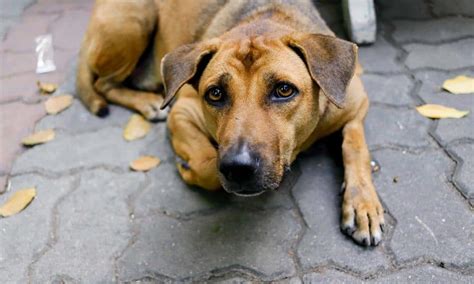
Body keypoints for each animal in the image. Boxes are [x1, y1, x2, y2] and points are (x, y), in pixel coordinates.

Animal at [75, 0, 386, 246]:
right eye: (215, 94)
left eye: (284, 90)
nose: (238, 167)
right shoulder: (182, 111)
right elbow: (208, 168)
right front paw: (188, 168)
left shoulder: (356, 103)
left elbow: (355, 146)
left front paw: (362, 204)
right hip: (134, 21)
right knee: (104, 83)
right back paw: (147, 103)